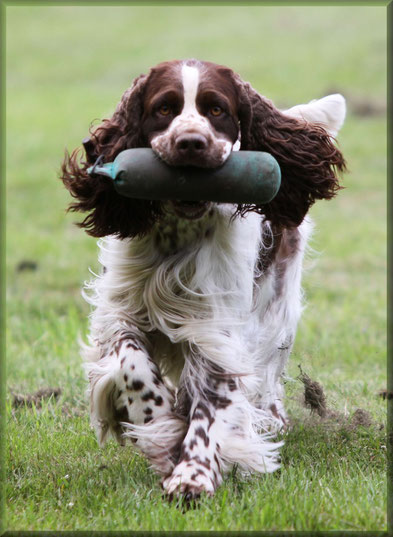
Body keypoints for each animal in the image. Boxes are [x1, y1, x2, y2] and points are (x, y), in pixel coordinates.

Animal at [59, 58, 344, 498]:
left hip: (275, 312)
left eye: (216, 110)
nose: (191, 143)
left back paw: (270, 419)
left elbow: (211, 406)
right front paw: (160, 429)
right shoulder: (122, 308)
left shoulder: (216, 329)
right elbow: (131, 366)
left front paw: (193, 475)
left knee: (268, 375)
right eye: (163, 108)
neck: (178, 233)